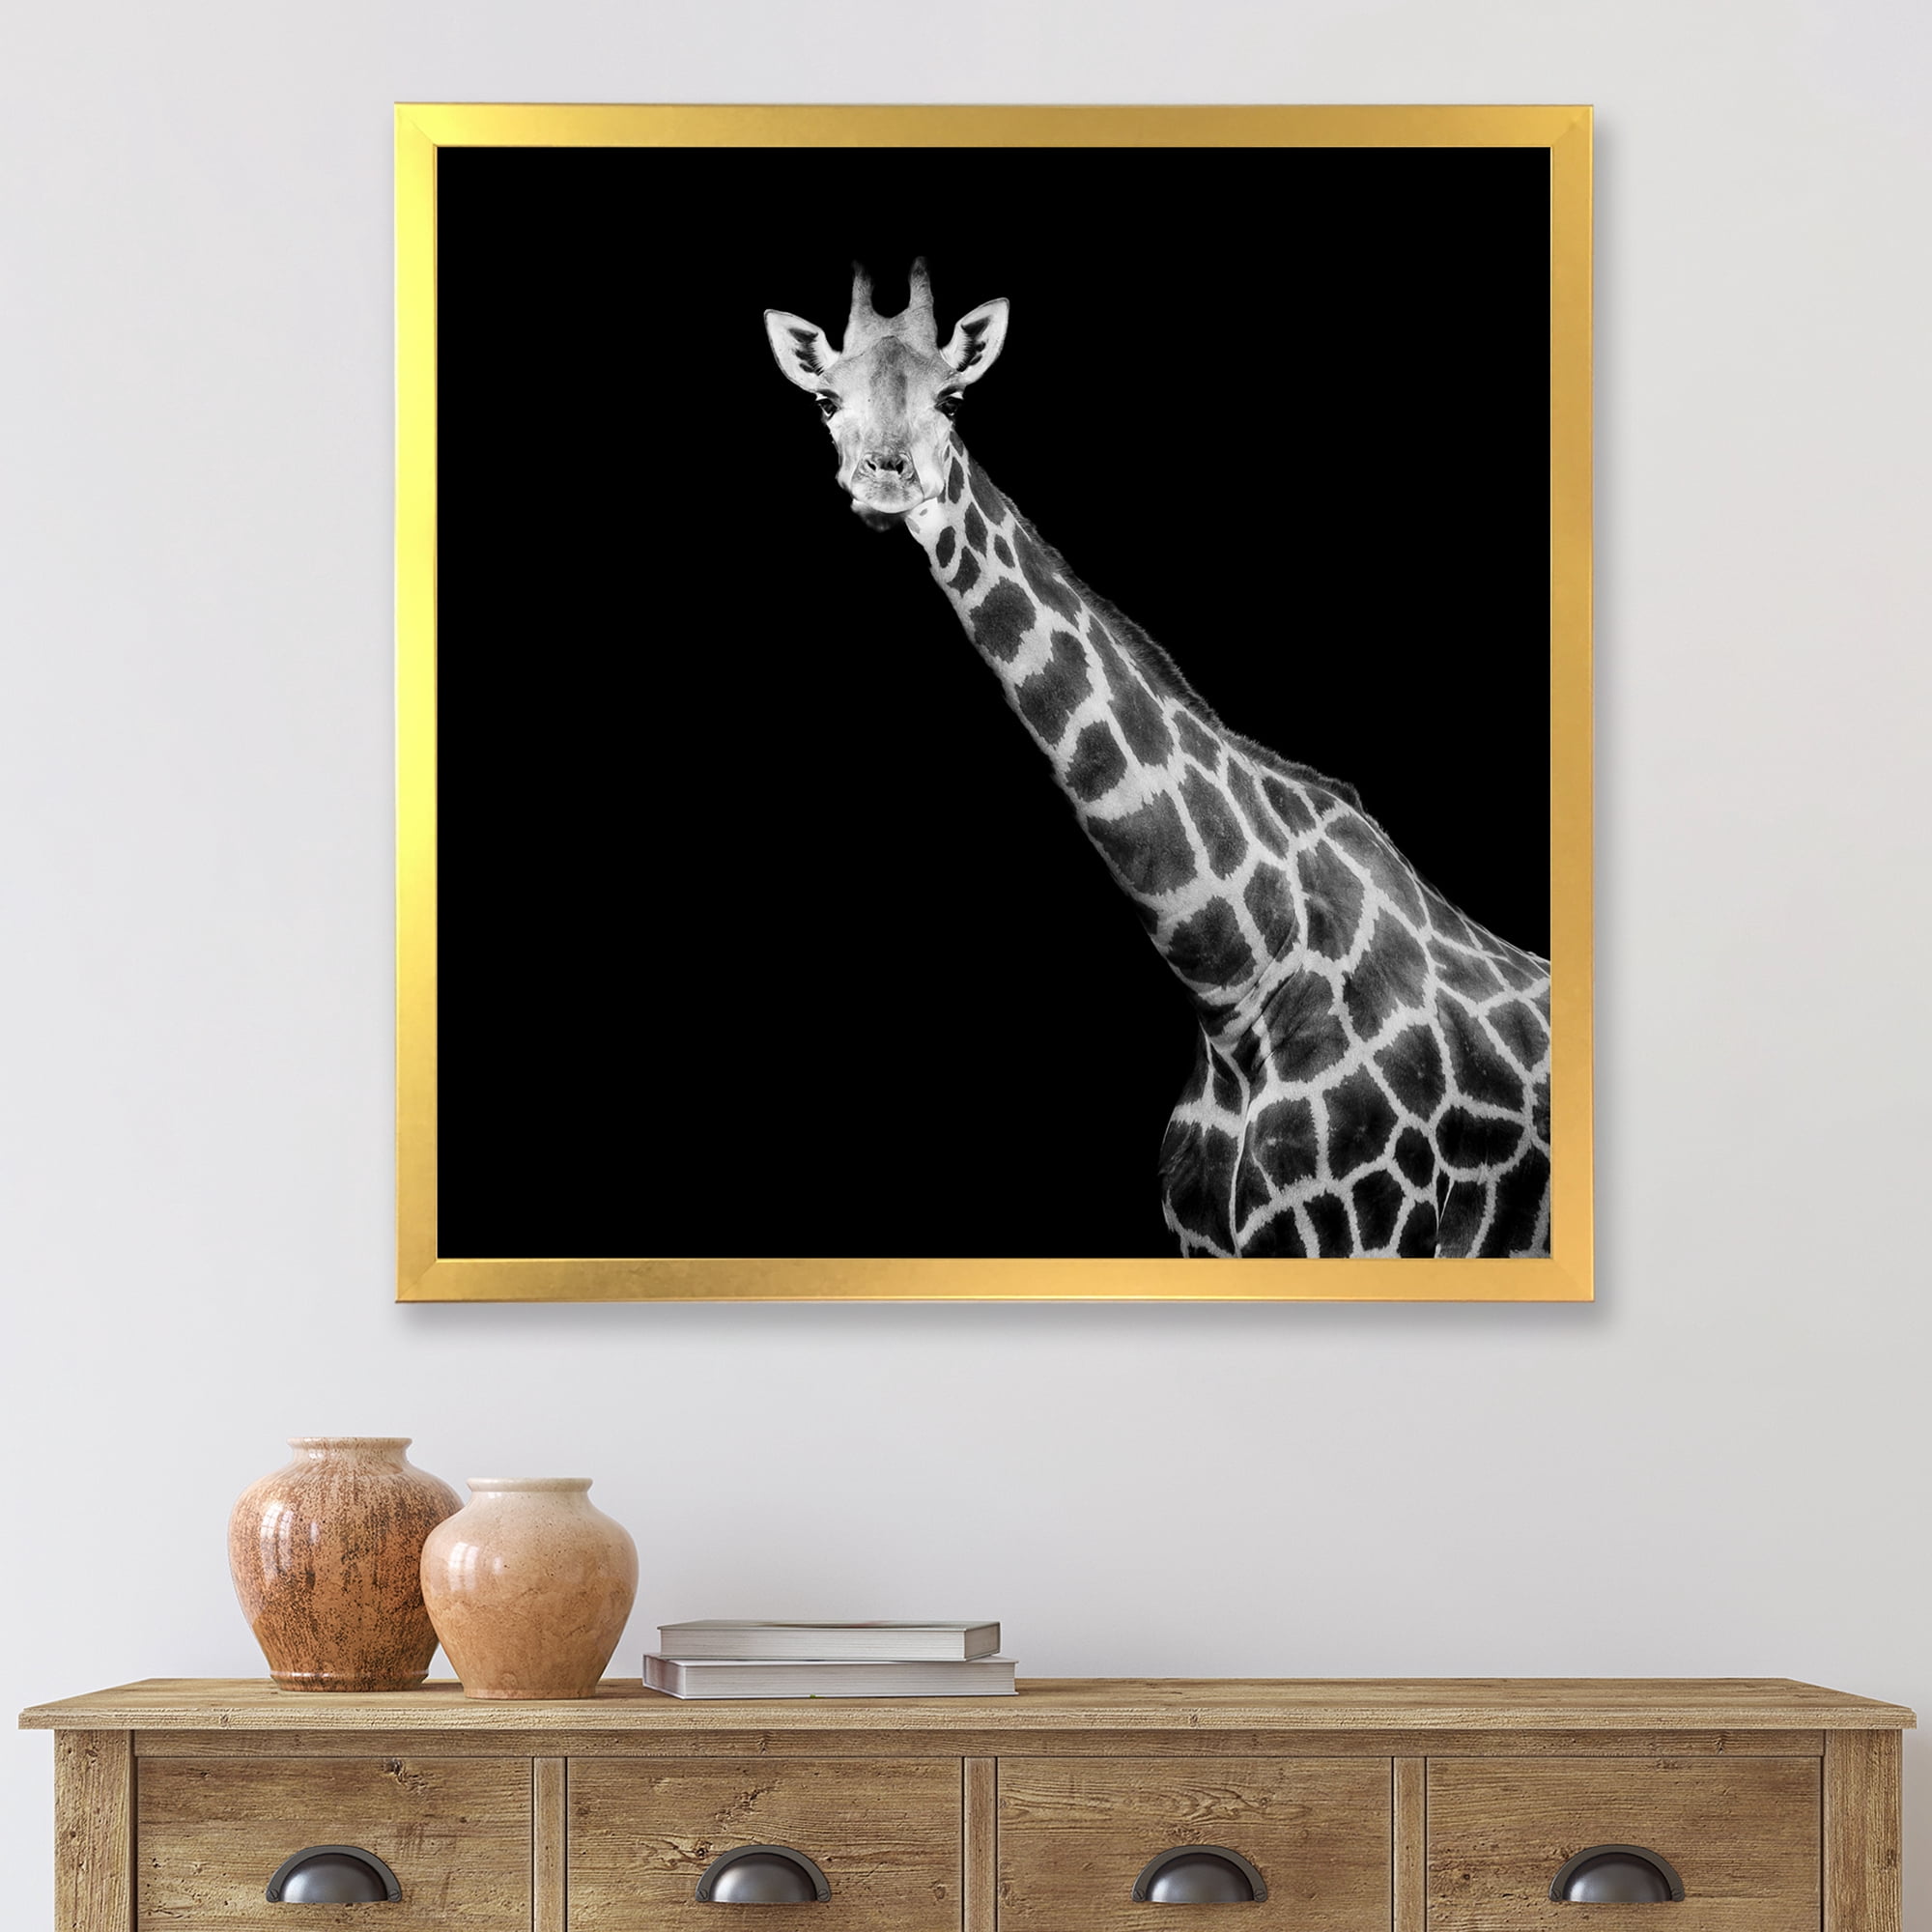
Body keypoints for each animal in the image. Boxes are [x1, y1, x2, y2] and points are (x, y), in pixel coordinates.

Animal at [764, 261, 1552, 1258]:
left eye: (954, 397)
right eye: (827, 399)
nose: (887, 480)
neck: (1236, 983)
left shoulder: (1374, 1232)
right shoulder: (1205, 1242)